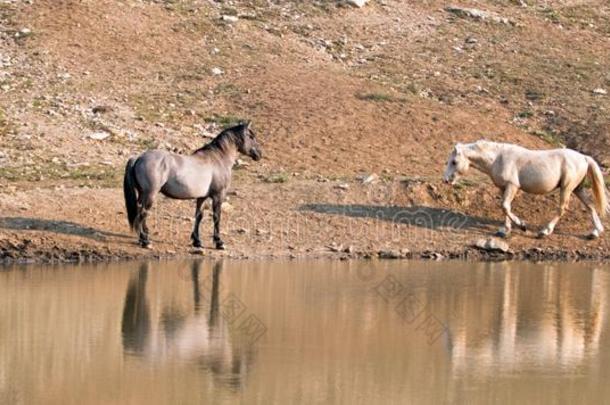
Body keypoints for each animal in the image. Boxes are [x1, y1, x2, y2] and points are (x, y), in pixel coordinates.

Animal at [442, 140, 608, 238]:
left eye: (454, 162)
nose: (446, 180)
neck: (498, 158)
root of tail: (584, 157)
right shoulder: (503, 188)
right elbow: (505, 207)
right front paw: (505, 230)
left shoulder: (512, 186)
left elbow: (505, 206)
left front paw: (522, 226)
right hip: (577, 189)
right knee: (590, 206)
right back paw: (595, 232)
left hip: (566, 188)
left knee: (562, 209)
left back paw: (545, 231)